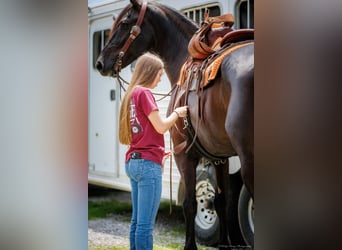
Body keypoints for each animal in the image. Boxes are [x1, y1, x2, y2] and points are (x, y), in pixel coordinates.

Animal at [95, 0, 252, 249]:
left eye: (125, 23)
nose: (100, 63)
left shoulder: (183, 154)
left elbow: (190, 203)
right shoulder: (220, 157)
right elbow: (220, 200)